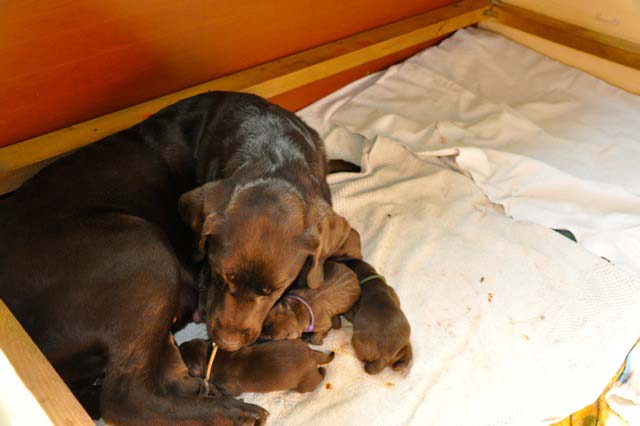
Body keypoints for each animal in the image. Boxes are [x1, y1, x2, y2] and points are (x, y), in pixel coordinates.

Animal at [179, 339, 334, 395]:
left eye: (180, 350)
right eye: (183, 345)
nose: (179, 344)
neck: (209, 357)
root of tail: (311, 354)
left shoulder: (229, 389)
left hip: (306, 383)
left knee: (321, 374)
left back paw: (322, 370)